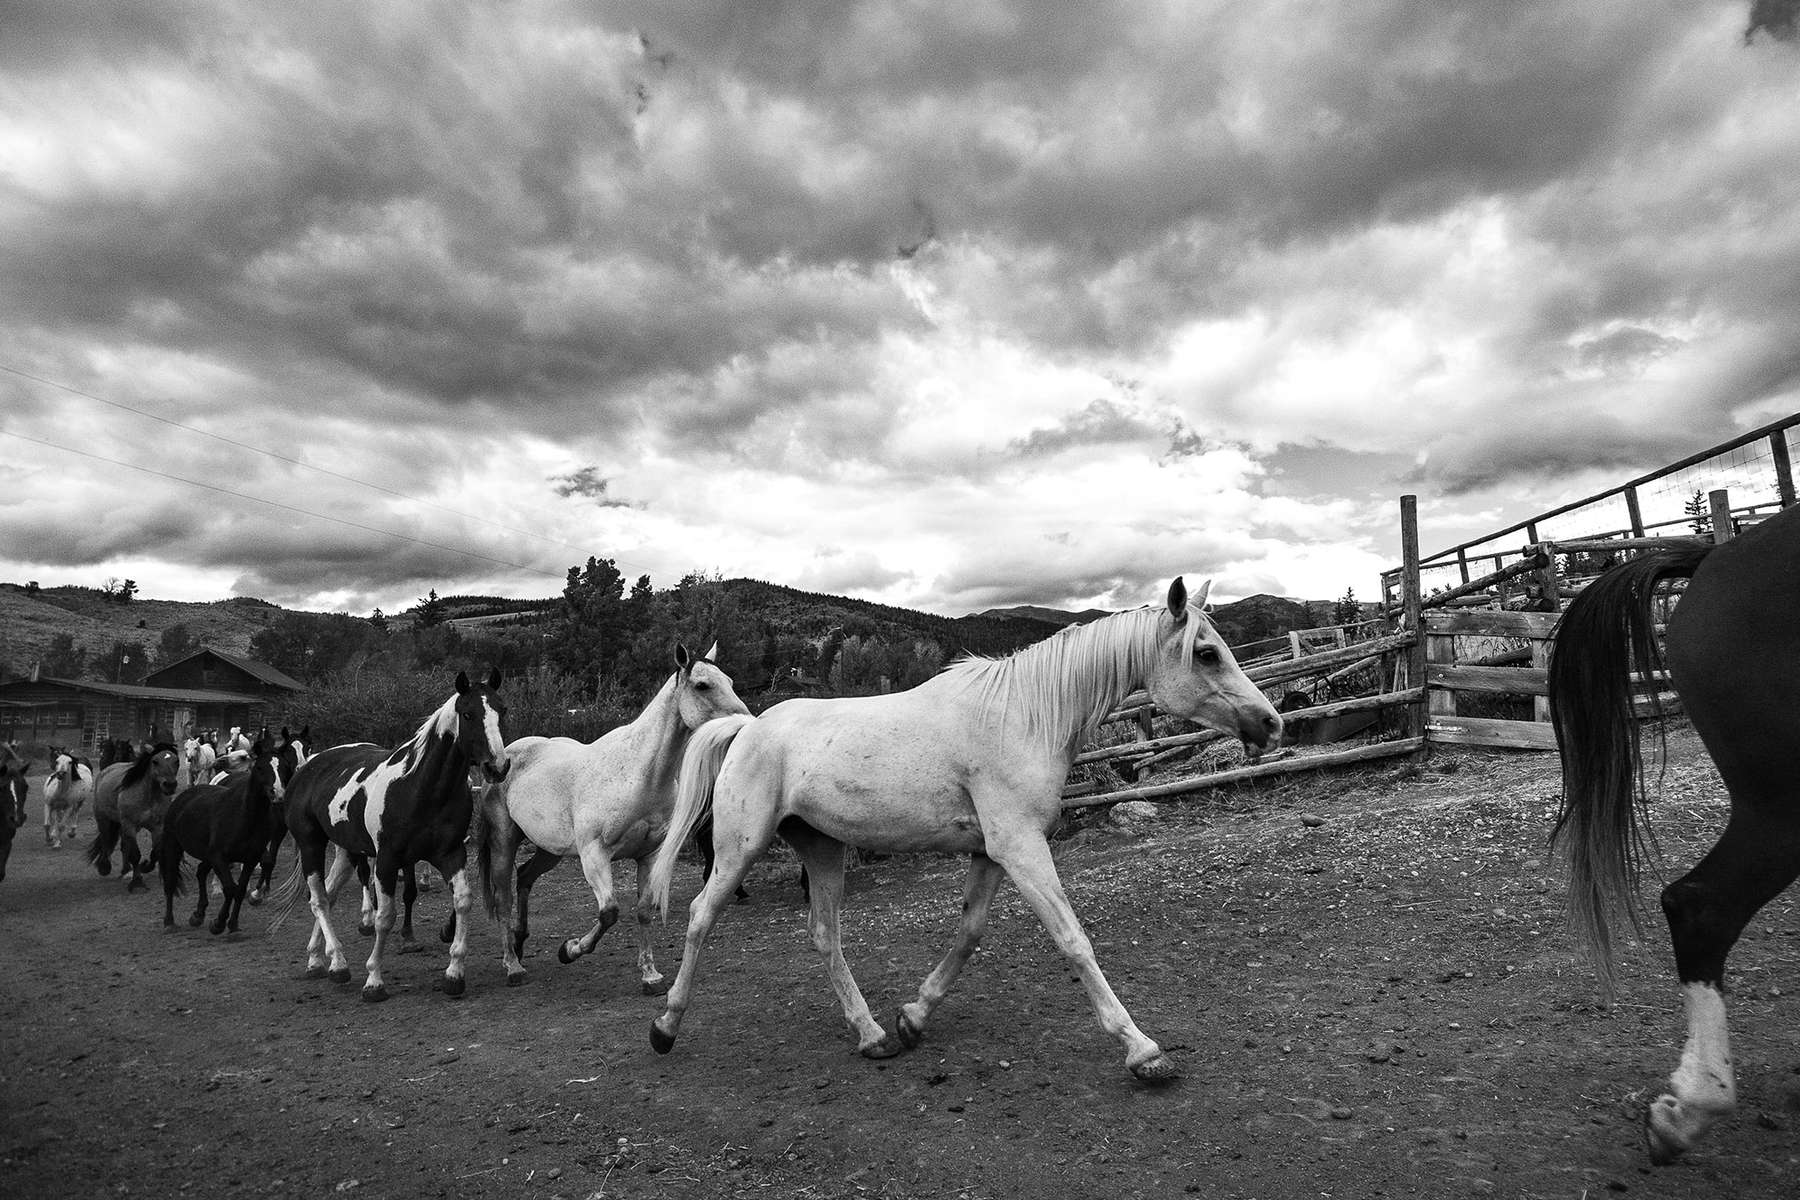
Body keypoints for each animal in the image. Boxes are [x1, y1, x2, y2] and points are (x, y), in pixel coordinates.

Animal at [271, 676, 514, 1007]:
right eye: (468, 714)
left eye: (503, 710)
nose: (497, 766)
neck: (418, 788)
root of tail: (307, 767)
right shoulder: (386, 861)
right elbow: (384, 916)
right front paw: (374, 980)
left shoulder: (451, 854)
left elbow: (463, 900)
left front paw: (454, 974)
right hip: (311, 845)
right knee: (318, 900)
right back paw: (338, 964)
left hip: (347, 851)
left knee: (329, 894)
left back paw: (317, 960)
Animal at [475, 644, 748, 993]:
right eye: (702, 685)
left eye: (729, 681)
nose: (746, 725)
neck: (638, 774)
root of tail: (502, 759)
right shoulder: (595, 855)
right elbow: (609, 913)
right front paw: (569, 950)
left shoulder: (649, 855)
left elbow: (643, 911)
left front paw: (650, 975)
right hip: (503, 842)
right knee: (503, 898)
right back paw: (513, 966)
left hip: (549, 850)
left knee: (524, 877)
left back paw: (520, 943)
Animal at [648, 575, 1281, 1086]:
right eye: (1206, 653)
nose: (1271, 723)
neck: (1023, 716)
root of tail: (746, 729)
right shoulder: (1020, 847)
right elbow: (1073, 940)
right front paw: (1142, 1050)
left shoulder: (992, 852)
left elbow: (970, 932)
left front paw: (912, 1018)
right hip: (741, 848)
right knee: (700, 916)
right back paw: (665, 1027)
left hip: (823, 850)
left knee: (825, 934)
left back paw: (873, 1035)